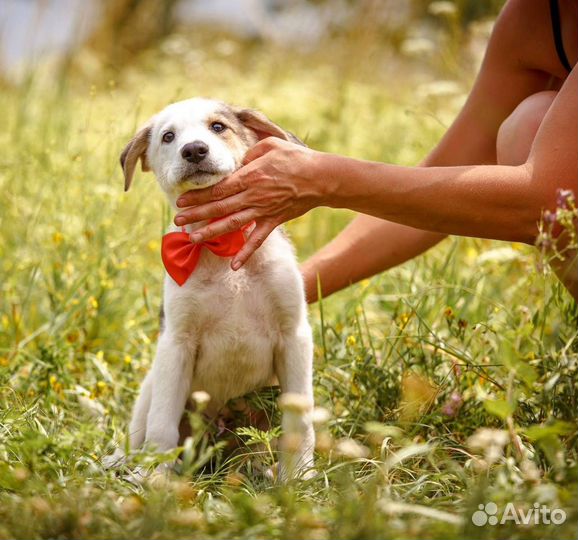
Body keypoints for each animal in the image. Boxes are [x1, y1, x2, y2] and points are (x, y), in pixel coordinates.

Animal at [118, 99, 312, 478]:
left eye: (218, 127)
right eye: (168, 136)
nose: (194, 150)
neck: (222, 245)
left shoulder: (294, 335)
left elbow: (299, 422)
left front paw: (300, 477)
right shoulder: (176, 343)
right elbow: (161, 426)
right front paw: (157, 479)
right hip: (150, 386)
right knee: (140, 433)